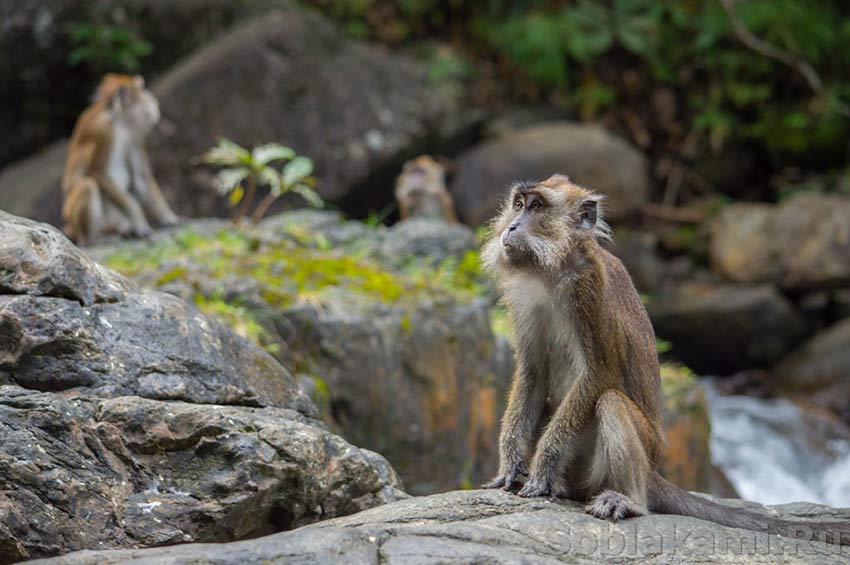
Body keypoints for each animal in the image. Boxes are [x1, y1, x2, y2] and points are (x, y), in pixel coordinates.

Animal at [62, 73, 178, 245]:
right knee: (88, 185)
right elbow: (98, 172)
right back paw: (97, 238)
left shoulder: (135, 136)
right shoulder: (104, 133)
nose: (152, 100)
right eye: (141, 90)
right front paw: (139, 221)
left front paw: (169, 217)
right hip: (76, 218)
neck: (119, 121)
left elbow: (141, 178)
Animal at [484, 174, 848, 544]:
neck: (551, 270)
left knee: (611, 402)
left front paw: (543, 466)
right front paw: (511, 465)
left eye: (537, 206)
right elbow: (532, 373)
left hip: (632, 455)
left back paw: (629, 500)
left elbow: (601, 374)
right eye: (518, 204)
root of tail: (652, 473)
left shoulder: (587, 291)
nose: (512, 226)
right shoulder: (524, 298)